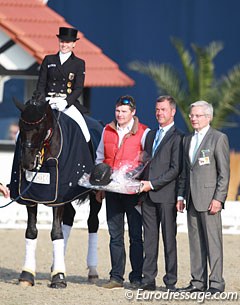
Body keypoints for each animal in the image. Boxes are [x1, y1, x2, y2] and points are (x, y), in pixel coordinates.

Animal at [8, 92, 98, 288]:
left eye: (40, 127)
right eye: (20, 126)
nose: (27, 163)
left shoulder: (57, 197)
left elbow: (56, 233)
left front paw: (59, 277)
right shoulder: (32, 196)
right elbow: (31, 231)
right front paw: (27, 274)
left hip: (96, 194)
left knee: (92, 222)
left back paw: (92, 271)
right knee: (70, 217)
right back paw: (56, 264)